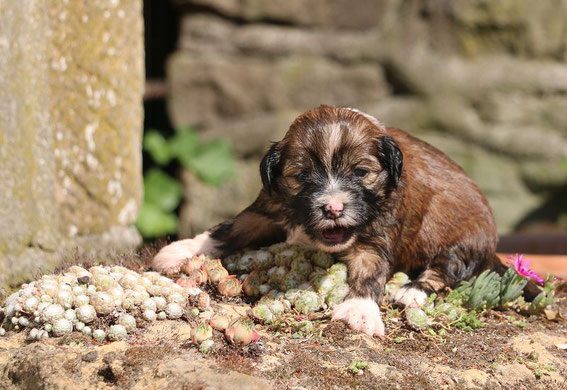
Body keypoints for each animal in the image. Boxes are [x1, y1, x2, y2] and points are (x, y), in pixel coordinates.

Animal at [153, 105, 500, 336]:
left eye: (361, 172)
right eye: (302, 176)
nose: (333, 208)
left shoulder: (378, 236)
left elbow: (370, 272)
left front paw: (360, 310)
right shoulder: (268, 209)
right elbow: (228, 229)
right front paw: (182, 249)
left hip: (464, 238)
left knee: (449, 268)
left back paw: (413, 290)